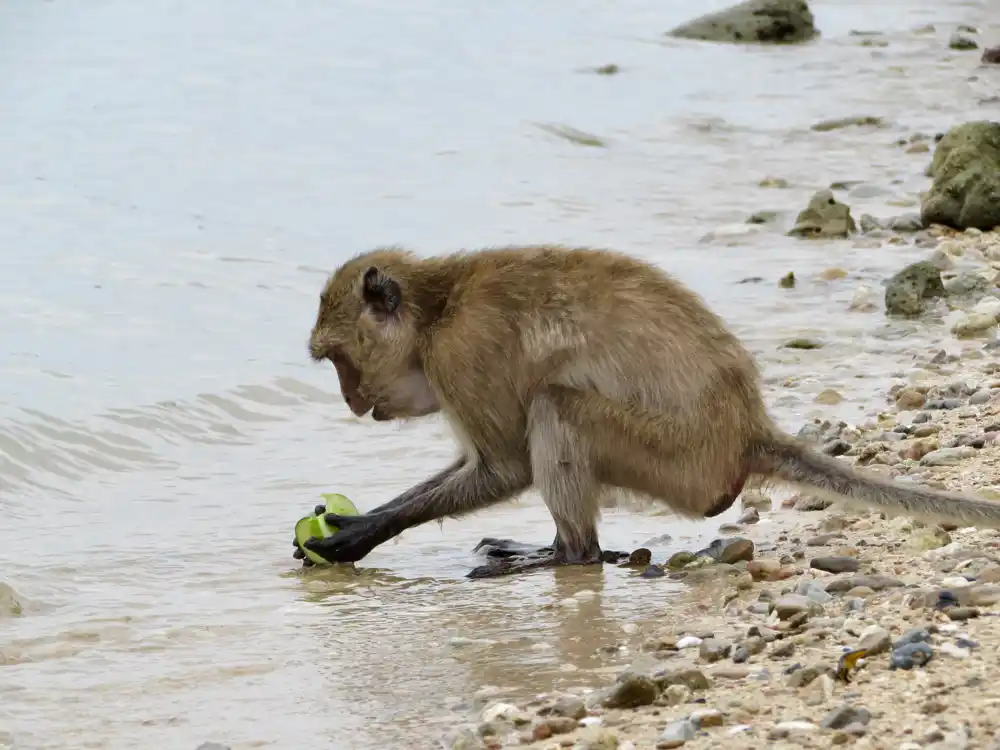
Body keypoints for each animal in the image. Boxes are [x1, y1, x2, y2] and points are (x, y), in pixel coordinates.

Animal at [296, 244, 1000, 580]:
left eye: (340, 361)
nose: (350, 400)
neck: (438, 308)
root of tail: (745, 430)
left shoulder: (464, 354)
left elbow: (505, 468)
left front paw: (358, 532)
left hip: (677, 462)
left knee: (557, 405)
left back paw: (569, 555)